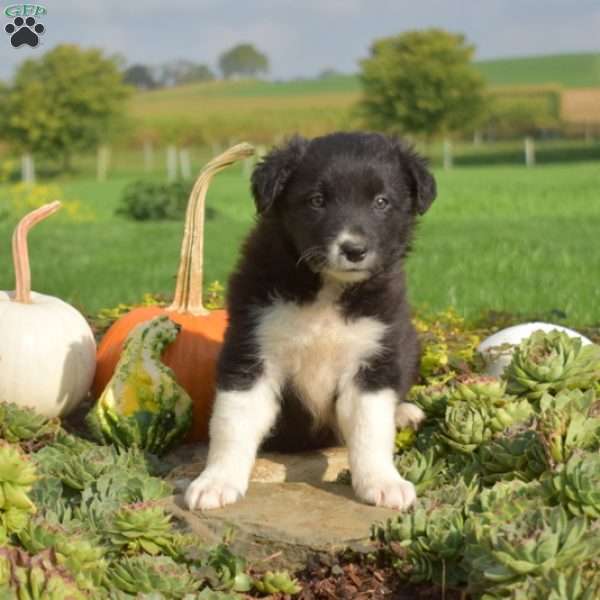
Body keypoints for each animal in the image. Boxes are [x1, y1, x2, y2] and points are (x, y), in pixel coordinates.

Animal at [183, 131, 436, 510]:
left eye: (381, 201)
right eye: (317, 200)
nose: (354, 250)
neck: (326, 289)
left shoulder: (372, 359)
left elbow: (371, 428)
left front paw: (383, 482)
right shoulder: (250, 350)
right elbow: (232, 421)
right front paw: (216, 481)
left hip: (409, 344)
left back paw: (404, 412)